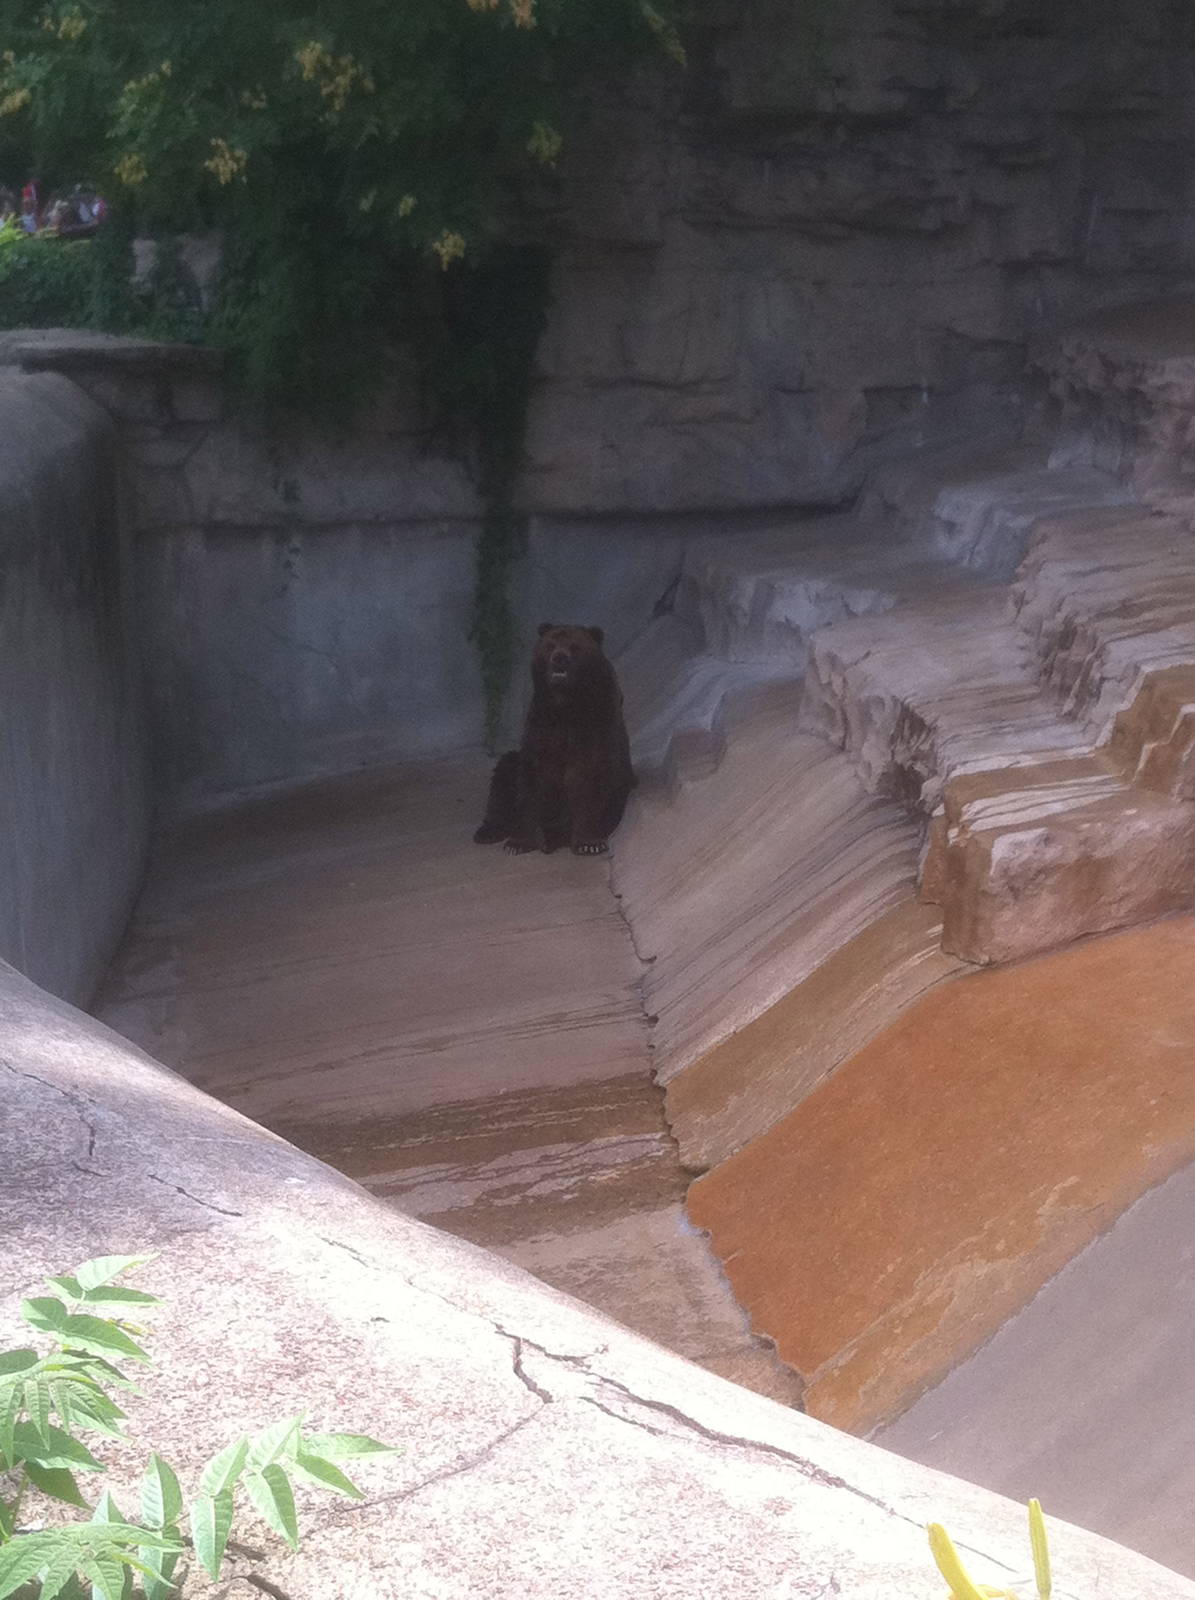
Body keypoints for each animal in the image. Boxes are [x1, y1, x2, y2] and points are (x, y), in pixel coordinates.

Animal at [474, 623, 635, 856]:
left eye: (575, 646)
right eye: (550, 645)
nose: (559, 658)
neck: (565, 703)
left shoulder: (598, 719)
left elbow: (591, 774)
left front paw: (589, 843)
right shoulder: (541, 722)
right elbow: (532, 778)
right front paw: (518, 842)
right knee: (503, 776)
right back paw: (489, 831)